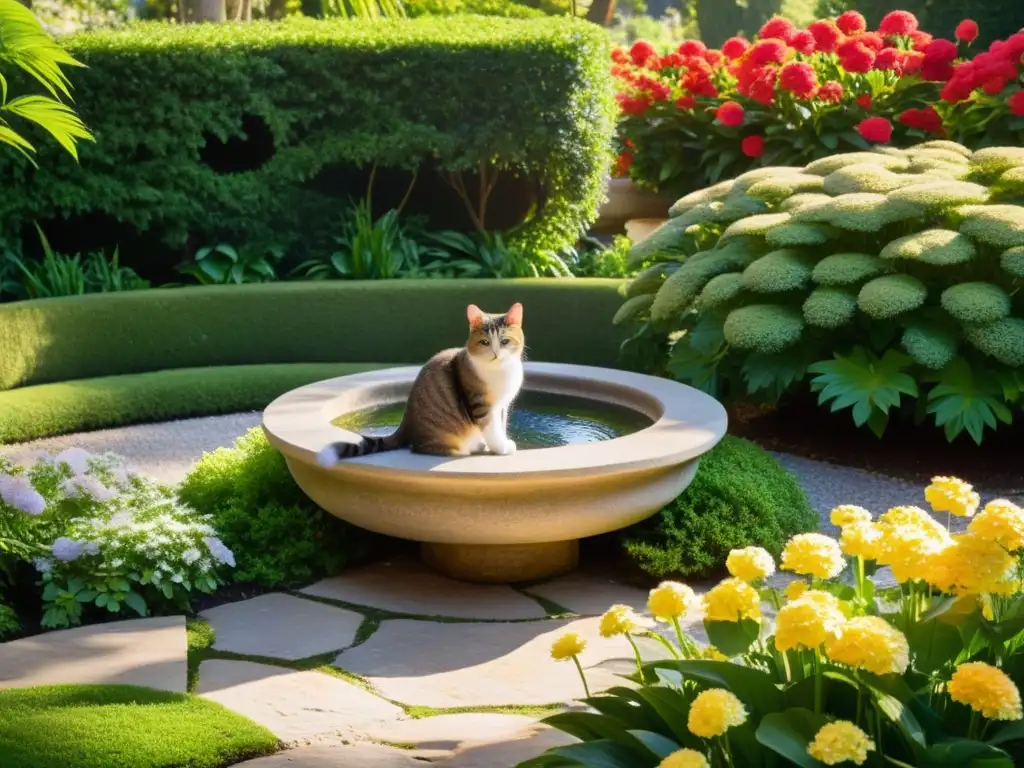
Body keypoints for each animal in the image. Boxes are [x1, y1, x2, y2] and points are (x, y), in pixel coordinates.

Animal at [317, 305, 528, 462]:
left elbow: (500, 426)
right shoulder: (480, 405)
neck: (501, 370)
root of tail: (405, 425)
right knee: (420, 448)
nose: (496, 354)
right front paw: (501, 448)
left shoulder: (502, 406)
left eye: (505, 341)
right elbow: (491, 428)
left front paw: (501, 442)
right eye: (485, 342)